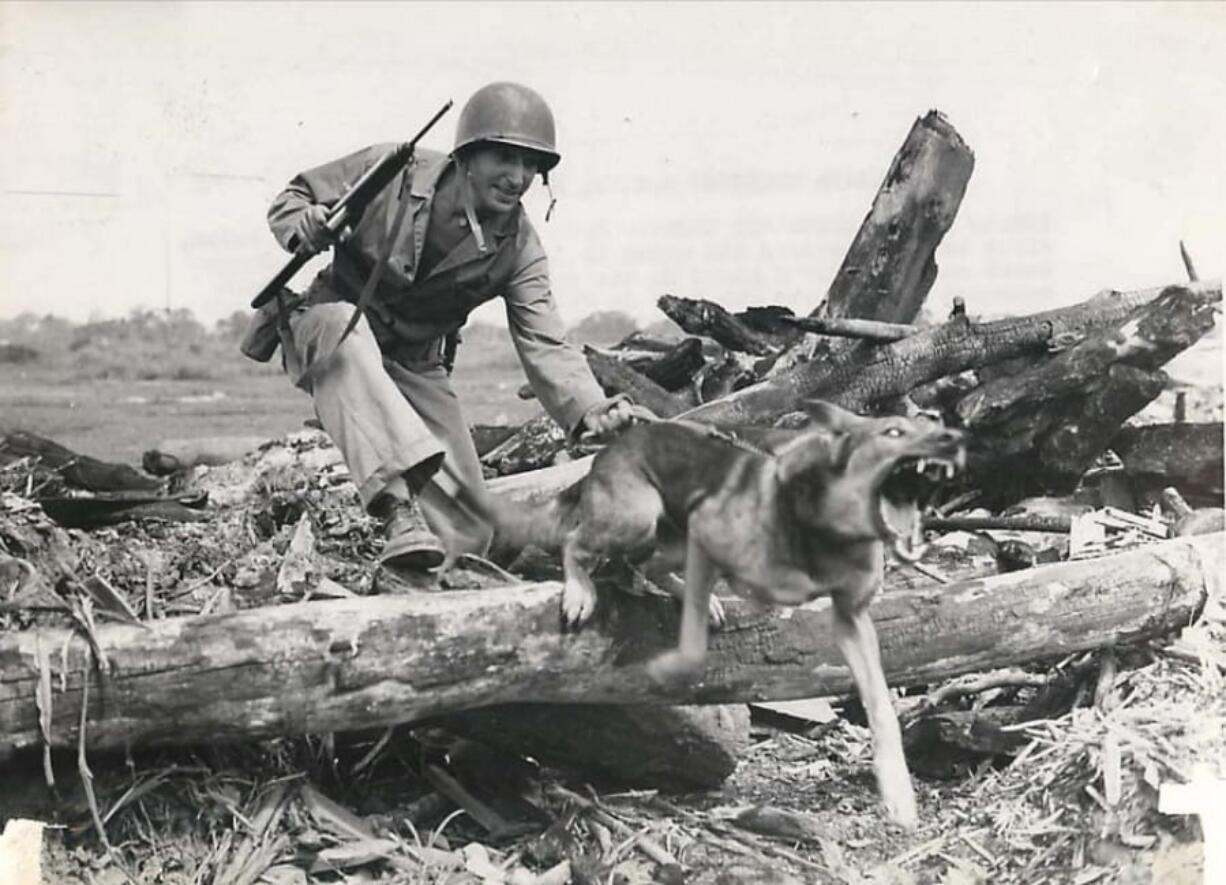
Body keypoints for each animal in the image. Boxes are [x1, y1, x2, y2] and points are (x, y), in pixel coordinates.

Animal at [492, 399, 961, 828]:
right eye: (894, 432)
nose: (951, 436)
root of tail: (609, 450)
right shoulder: (708, 532)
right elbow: (693, 647)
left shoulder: (852, 619)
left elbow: (881, 707)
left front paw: (898, 794)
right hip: (636, 517)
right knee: (575, 542)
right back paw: (580, 591)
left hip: (664, 536)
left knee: (647, 565)